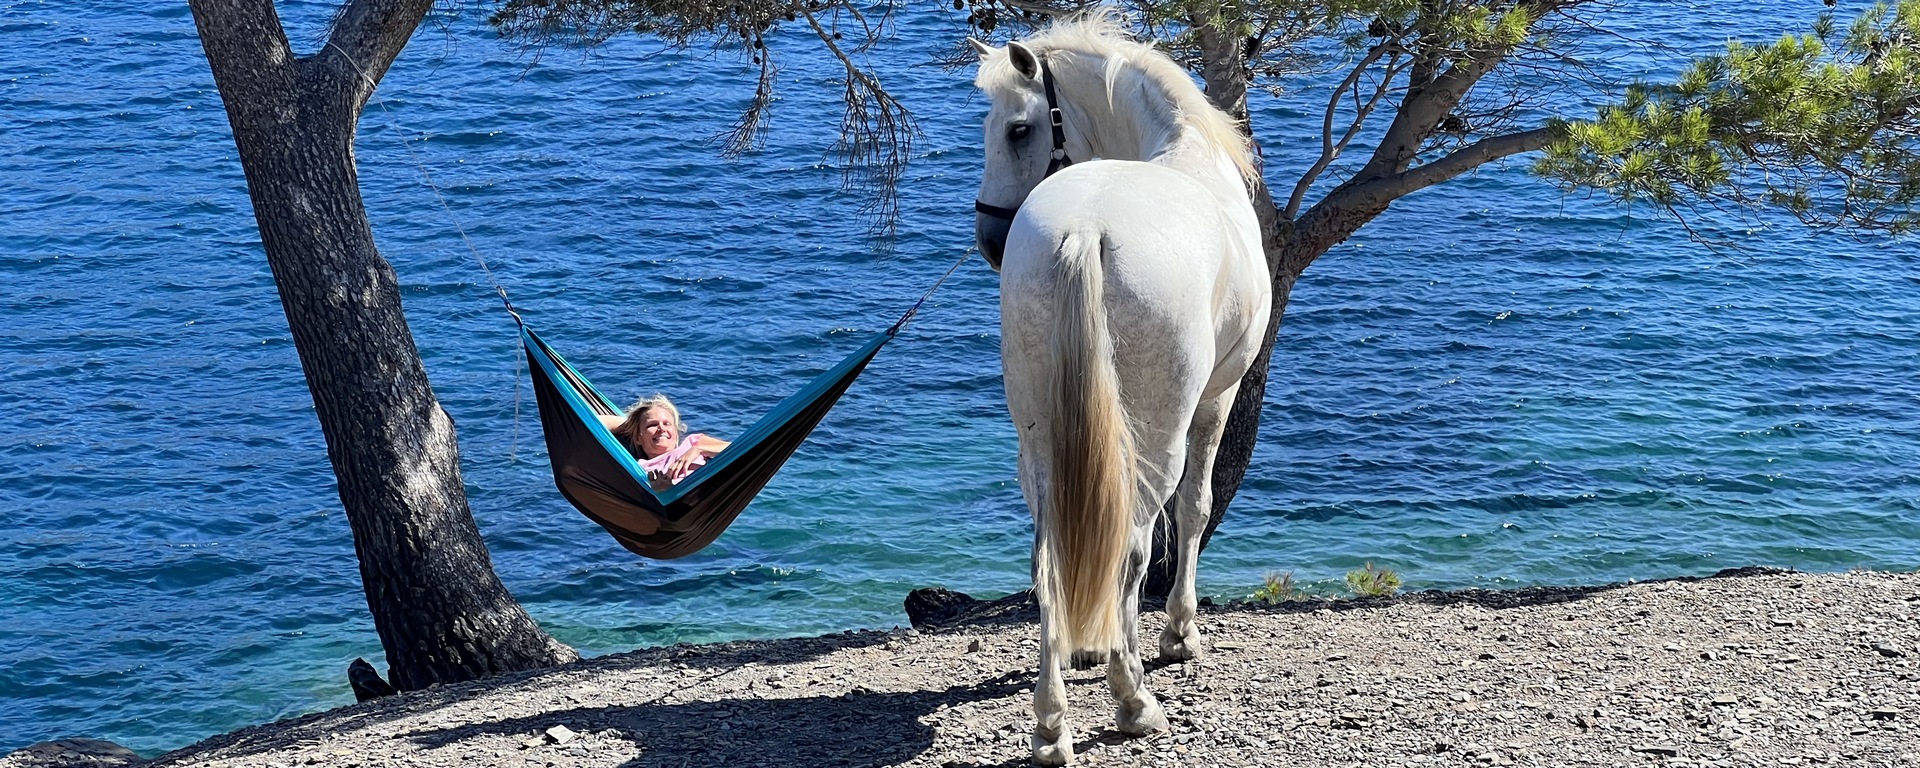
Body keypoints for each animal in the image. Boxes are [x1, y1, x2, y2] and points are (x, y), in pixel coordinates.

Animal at [967, 15, 1267, 764]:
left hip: (1039, 441)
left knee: (1051, 558)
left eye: (1017, 129)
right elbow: (1194, 509)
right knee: (1133, 543)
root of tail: (1085, 230)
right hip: (1157, 435)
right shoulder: (1216, 400)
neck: (1186, 152)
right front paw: (1180, 634)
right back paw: (1133, 700)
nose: (989, 240)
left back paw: (1052, 725)